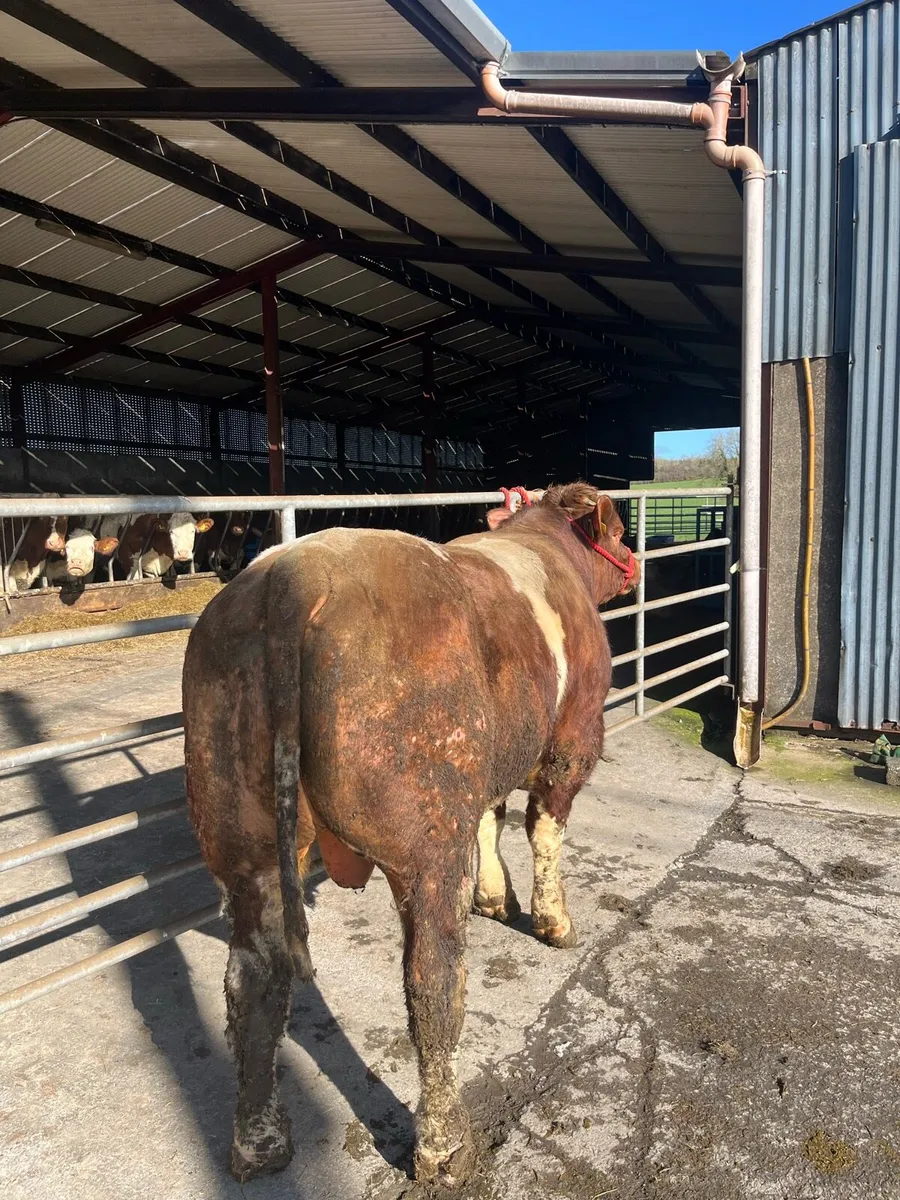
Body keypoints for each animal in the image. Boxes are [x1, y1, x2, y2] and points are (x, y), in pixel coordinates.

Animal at [182, 483, 637, 1188]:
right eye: (617, 530)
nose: (635, 563)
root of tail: (289, 581)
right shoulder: (571, 741)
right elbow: (542, 827)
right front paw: (554, 921)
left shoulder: (488, 761)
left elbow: (491, 816)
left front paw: (495, 897)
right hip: (427, 839)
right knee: (433, 981)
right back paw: (445, 1148)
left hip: (242, 835)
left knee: (252, 982)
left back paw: (260, 1145)